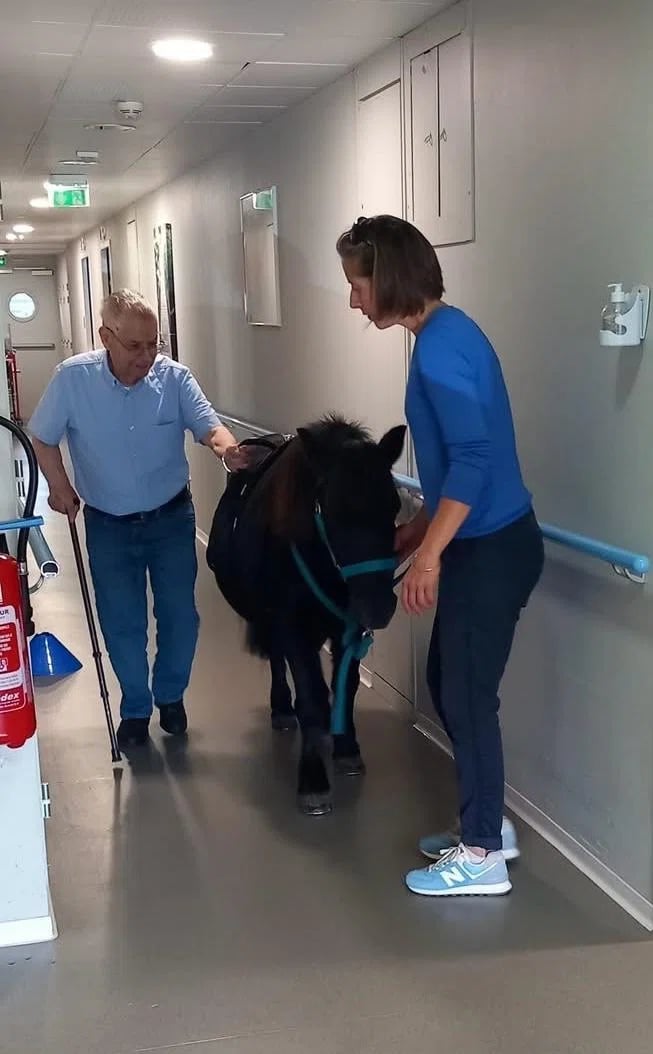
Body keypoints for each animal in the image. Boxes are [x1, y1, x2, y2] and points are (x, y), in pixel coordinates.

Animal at [206, 415, 406, 815]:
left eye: (393, 507)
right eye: (332, 510)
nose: (377, 606)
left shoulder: (348, 628)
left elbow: (346, 686)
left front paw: (346, 749)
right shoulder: (291, 625)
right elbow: (312, 697)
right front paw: (313, 780)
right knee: (278, 662)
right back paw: (284, 709)